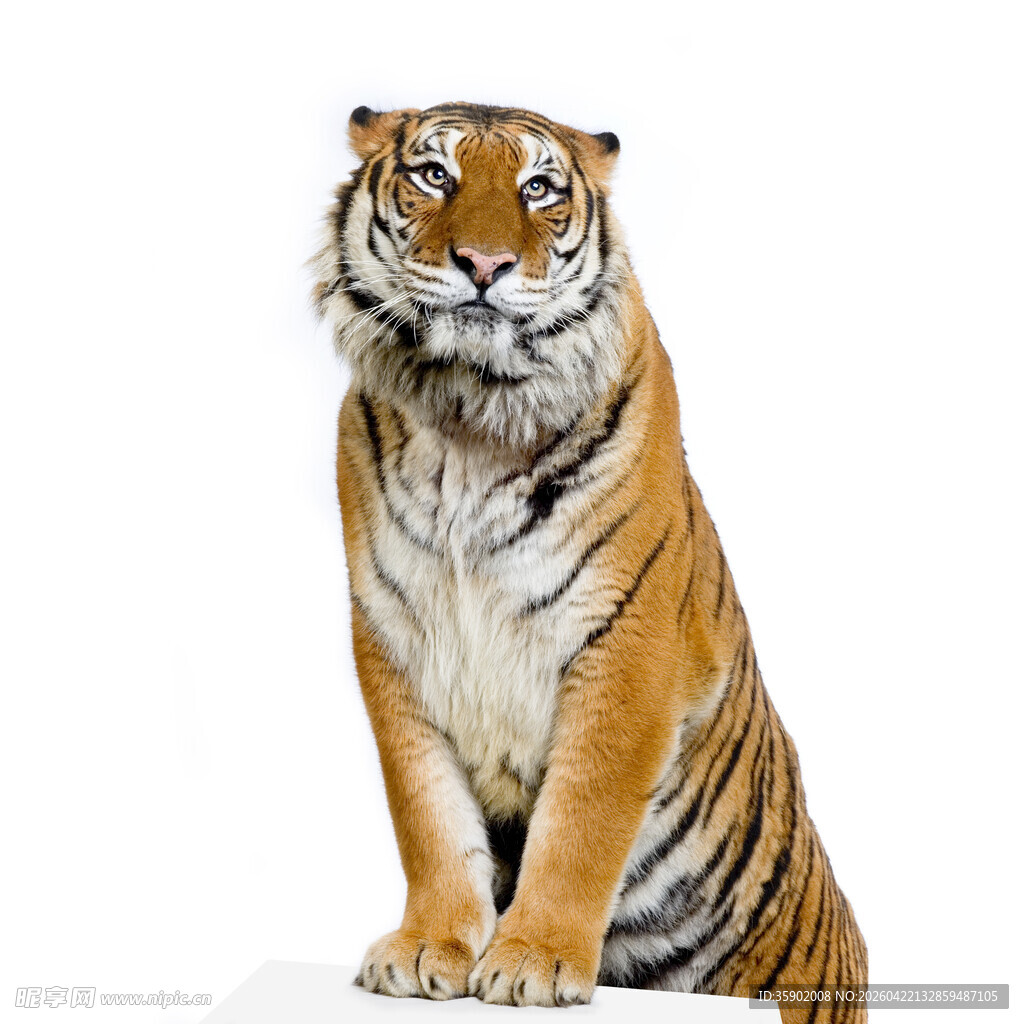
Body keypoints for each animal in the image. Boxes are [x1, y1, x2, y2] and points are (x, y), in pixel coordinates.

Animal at [311, 100, 868, 1021]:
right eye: (434, 175)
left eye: (538, 188)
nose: (485, 265)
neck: (470, 414)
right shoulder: (393, 636)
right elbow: (428, 815)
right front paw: (428, 948)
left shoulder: (626, 643)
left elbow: (581, 819)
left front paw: (533, 961)